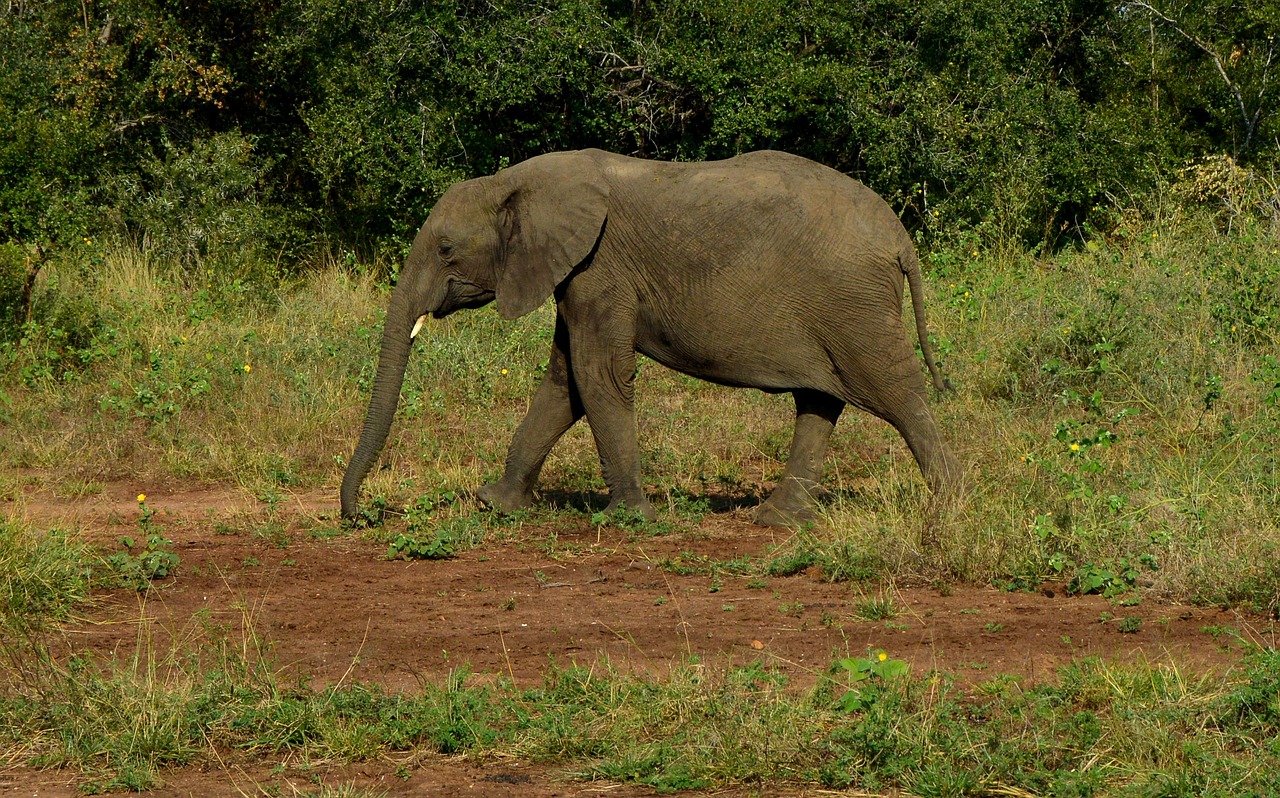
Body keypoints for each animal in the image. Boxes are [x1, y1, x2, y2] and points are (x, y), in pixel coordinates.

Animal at [340, 149, 962, 527]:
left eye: (446, 248)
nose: (360, 515)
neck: (518, 181)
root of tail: (900, 238)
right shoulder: (575, 273)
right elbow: (564, 383)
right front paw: (497, 506)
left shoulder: (600, 267)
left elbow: (598, 376)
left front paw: (631, 520)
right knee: (819, 401)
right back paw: (777, 520)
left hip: (853, 303)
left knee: (898, 395)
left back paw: (954, 503)